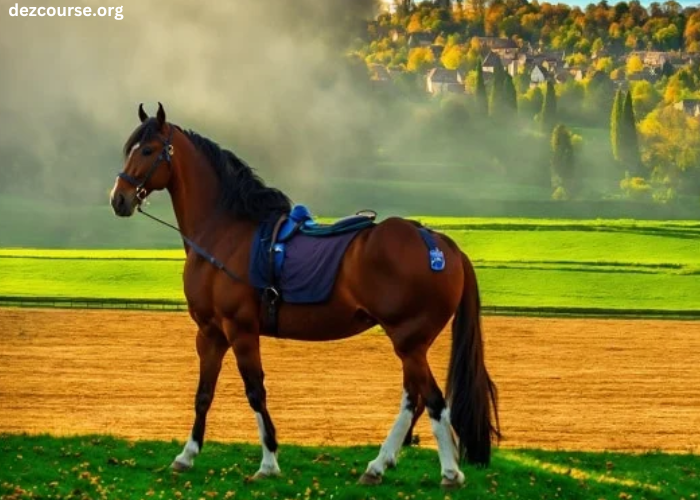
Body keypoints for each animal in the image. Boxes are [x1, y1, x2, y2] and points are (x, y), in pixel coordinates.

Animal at [110, 102, 498, 488]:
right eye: (129, 149)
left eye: (148, 150)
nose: (119, 199)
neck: (226, 232)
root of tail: (440, 242)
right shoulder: (212, 333)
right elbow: (204, 393)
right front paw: (187, 455)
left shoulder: (238, 330)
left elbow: (255, 391)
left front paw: (268, 461)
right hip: (410, 344)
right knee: (412, 400)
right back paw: (378, 465)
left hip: (409, 341)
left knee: (432, 401)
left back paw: (449, 472)